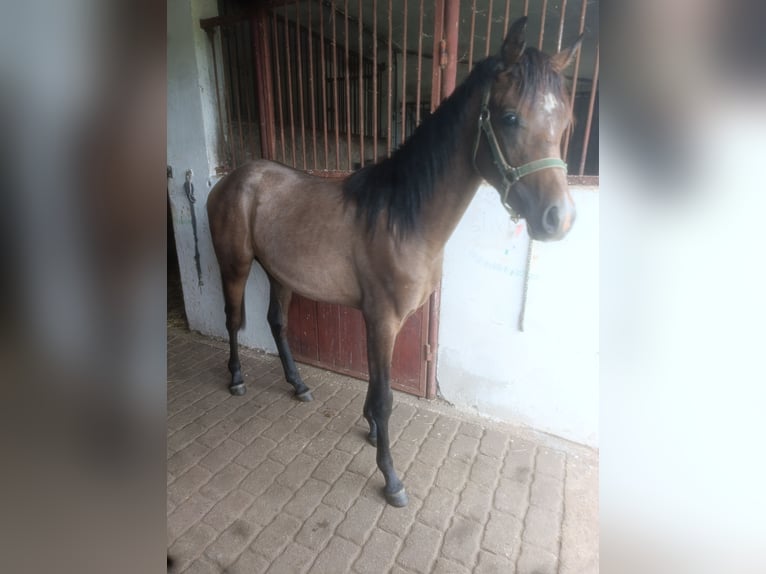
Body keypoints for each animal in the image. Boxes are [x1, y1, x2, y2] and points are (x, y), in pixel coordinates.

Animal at [207, 18, 584, 510]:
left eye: (566, 121)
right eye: (509, 117)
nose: (559, 219)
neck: (404, 217)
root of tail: (230, 179)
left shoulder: (390, 320)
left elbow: (375, 383)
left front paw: (369, 428)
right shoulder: (381, 317)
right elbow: (386, 396)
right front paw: (390, 477)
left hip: (279, 274)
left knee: (277, 323)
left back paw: (299, 384)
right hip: (234, 265)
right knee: (233, 319)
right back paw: (236, 378)